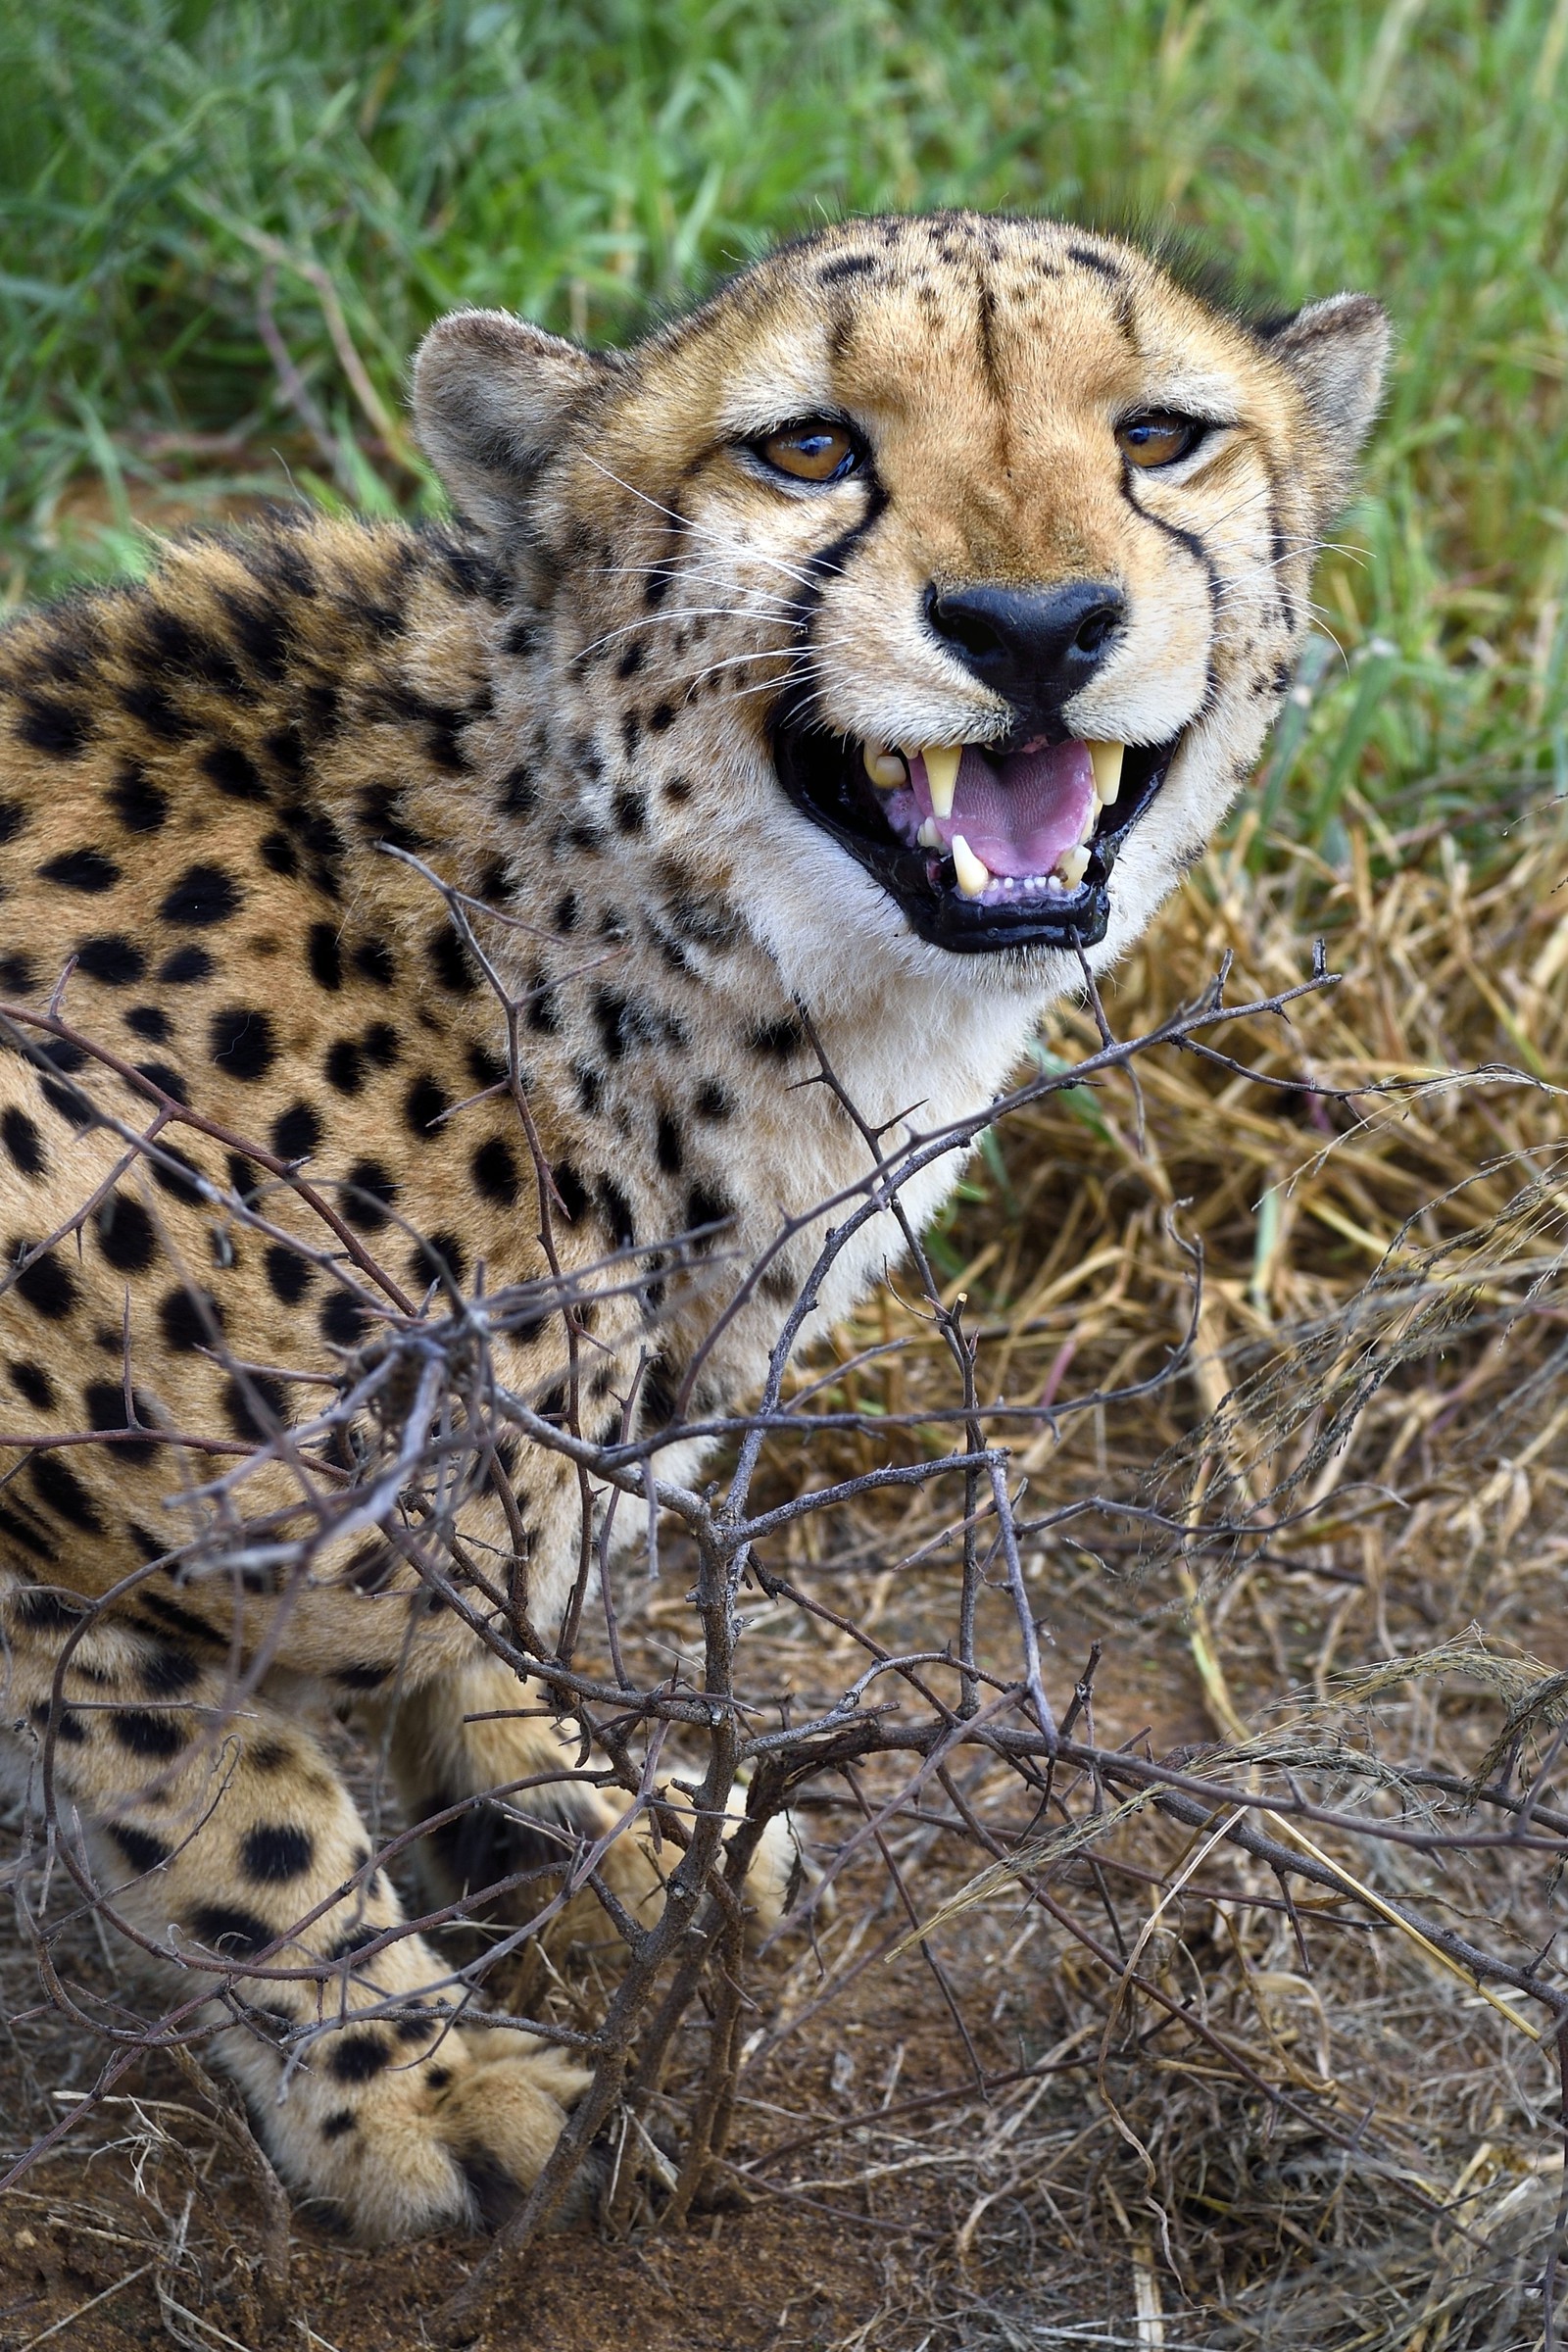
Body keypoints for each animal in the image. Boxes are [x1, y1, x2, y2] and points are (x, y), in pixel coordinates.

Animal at [0, 210, 1387, 2244]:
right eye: (807, 448)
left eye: (1159, 435)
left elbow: (495, 1614)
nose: (1034, 627)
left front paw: (599, 1812)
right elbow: (232, 1815)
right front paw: (411, 2072)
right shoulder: (74, 1522)